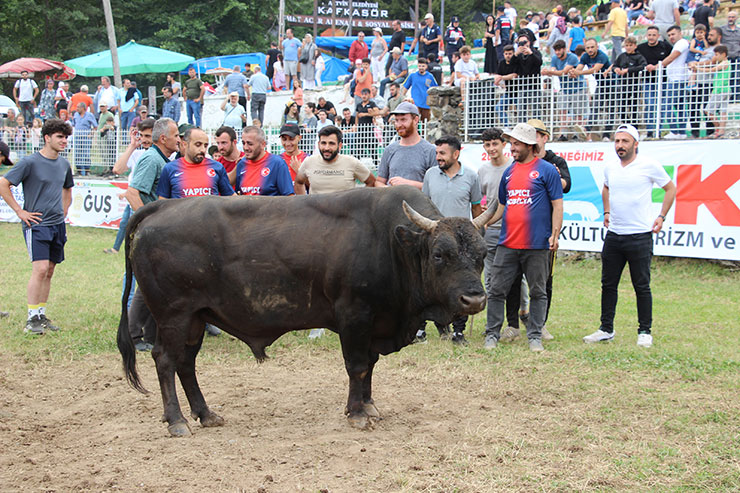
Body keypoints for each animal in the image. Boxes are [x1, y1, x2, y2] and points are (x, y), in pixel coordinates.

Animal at [115, 185, 494, 434]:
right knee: (166, 361)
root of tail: (163, 206)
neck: (390, 241)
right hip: (173, 316)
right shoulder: (354, 316)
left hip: (195, 318)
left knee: (186, 364)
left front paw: (369, 405)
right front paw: (357, 413)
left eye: (482, 254)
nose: (474, 300)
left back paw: (205, 414)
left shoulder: (374, 324)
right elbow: (357, 366)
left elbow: (370, 366)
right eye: (439, 254)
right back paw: (177, 421)